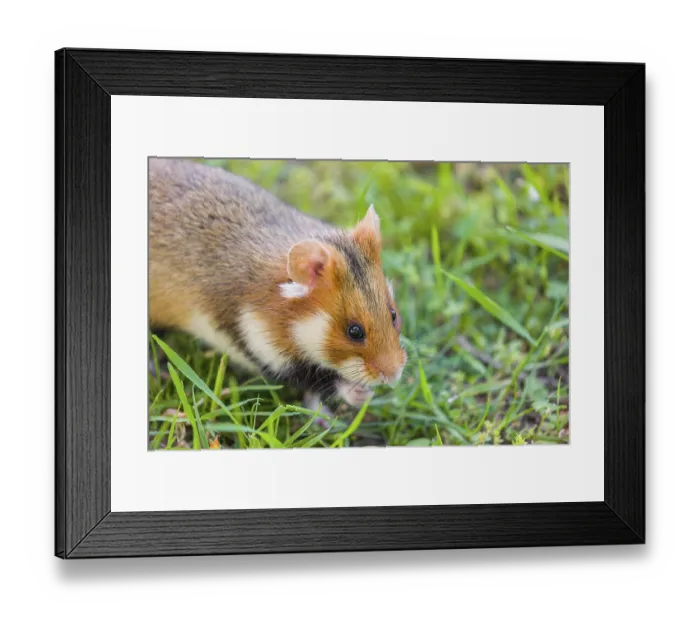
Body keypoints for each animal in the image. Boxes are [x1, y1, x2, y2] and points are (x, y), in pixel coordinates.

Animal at [148, 158, 407, 408]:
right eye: (354, 331)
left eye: (393, 314)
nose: (394, 375)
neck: (291, 318)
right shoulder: (260, 345)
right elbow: (313, 379)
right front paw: (359, 394)